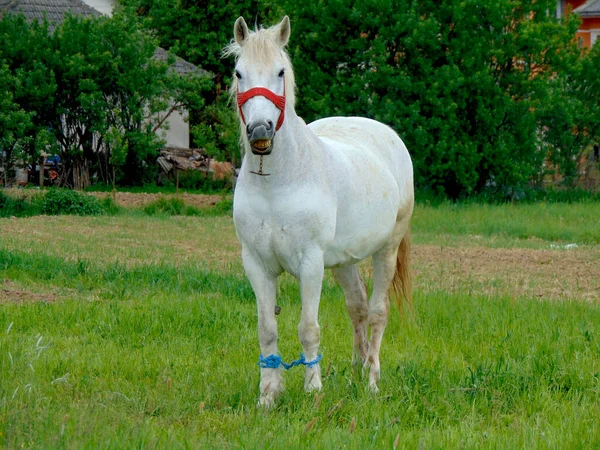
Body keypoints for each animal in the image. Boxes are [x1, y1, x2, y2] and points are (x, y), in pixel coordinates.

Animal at [224, 15, 412, 406]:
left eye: (280, 71)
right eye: (238, 72)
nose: (260, 131)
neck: (277, 183)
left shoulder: (310, 264)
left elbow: (308, 329)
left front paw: (313, 390)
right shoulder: (256, 264)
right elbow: (267, 329)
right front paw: (269, 395)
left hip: (387, 251)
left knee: (377, 313)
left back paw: (371, 381)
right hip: (343, 261)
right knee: (357, 307)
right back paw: (356, 372)